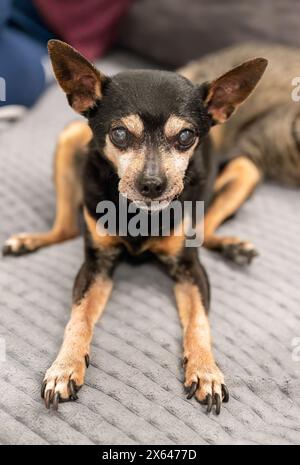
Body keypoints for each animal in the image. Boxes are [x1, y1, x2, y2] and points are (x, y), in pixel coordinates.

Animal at [1, 40, 266, 414]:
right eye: (120, 133)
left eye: (186, 136)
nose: (152, 184)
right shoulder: (96, 265)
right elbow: (78, 318)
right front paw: (65, 366)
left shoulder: (190, 269)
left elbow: (199, 322)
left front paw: (206, 370)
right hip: (70, 137)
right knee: (65, 228)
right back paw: (29, 240)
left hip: (246, 169)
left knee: (208, 227)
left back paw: (233, 246)